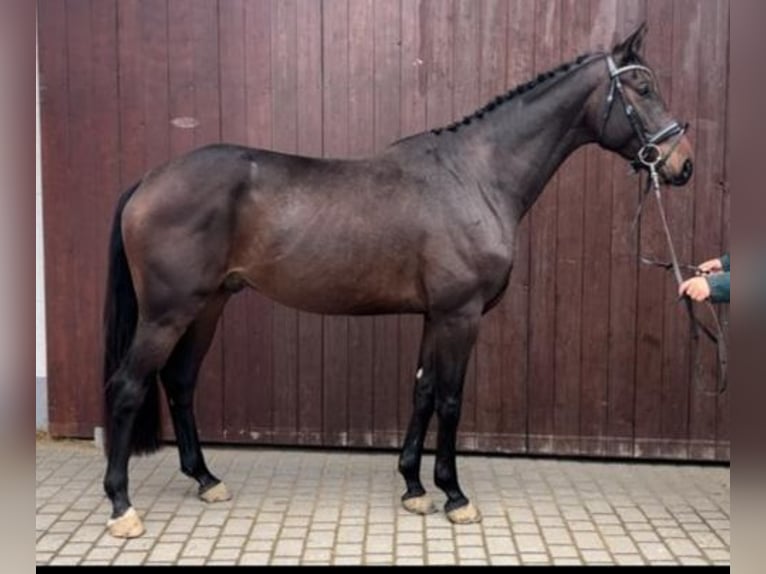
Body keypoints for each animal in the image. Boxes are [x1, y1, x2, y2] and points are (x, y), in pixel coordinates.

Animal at [102, 24, 696, 536]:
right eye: (643, 87)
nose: (682, 164)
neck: (476, 177)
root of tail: (148, 181)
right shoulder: (460, 314)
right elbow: (451, 400)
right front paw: (454, 495)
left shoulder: (436, 315)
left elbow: (423, 391)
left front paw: (413, 487)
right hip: (168, 313)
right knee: (129, 386)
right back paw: (121, 505)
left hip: (208, 306)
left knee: (180, 382)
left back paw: (206, 479)